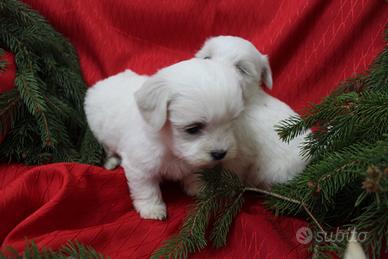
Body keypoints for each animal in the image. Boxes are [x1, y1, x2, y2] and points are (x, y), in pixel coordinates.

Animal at [84, 58, 246, 219]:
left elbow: (193, 173)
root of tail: (101, 84)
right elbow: (146, 188)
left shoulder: (191, 161)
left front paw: (197, 187)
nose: (220, 154)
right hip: (100, 132)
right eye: (193, 129)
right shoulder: (140, 167)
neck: (169, 146)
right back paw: (110, 162)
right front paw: (151, 208)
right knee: (108, 148)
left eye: (231, 122)